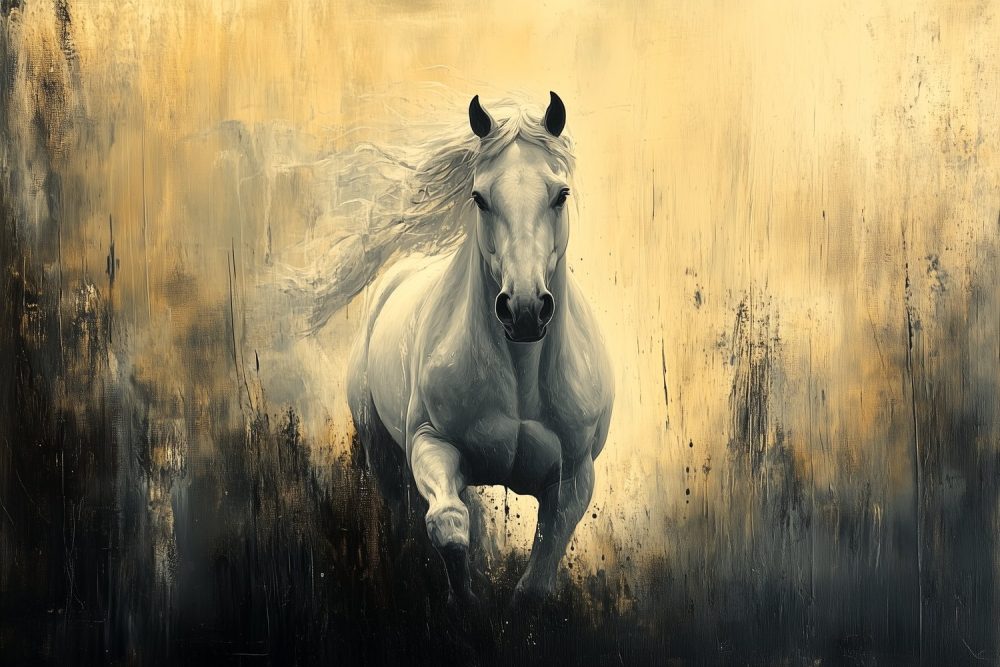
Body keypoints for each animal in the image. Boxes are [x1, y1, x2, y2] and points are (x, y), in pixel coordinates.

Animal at [343, 92, 614, 607]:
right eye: (479, 197)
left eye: (560, 194)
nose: (524, 310)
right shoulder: (431, 442)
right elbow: (448, 527)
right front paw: (464, 604)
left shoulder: (573, 479)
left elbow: (536, 582)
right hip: (381, 451)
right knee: (399, 515)